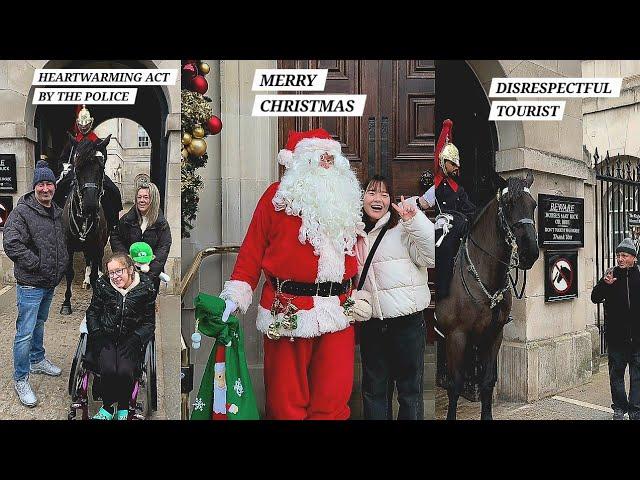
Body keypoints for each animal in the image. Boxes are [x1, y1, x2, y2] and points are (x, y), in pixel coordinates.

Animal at [60, 135, 111, 316]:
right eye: (77, 167)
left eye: (101, 167)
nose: (90, 205)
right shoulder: (68, 247)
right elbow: (69, 272)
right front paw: (66, 303)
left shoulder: (96, 245)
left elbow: (97, 276)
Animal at [436, 172, 540, 420]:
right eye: (509, 204)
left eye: (533, 204)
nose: (530, 252)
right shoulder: (457, 336)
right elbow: (455, 385)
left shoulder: (494, 334)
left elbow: (488, 381)